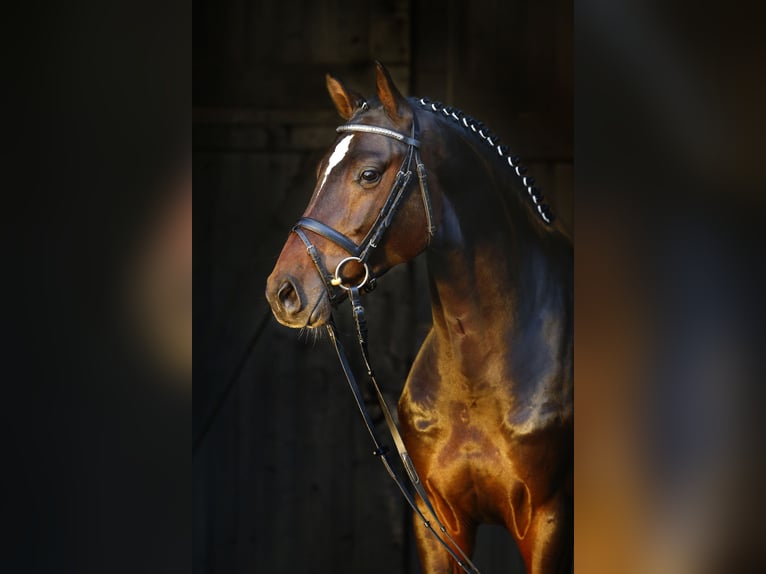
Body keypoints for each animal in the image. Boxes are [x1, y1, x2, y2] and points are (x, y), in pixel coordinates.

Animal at [265, 62, 572, 574]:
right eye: (320, 170)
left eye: (369, 174)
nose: (282, 292)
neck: (479, 372)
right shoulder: (440, 526)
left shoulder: (549, 523)